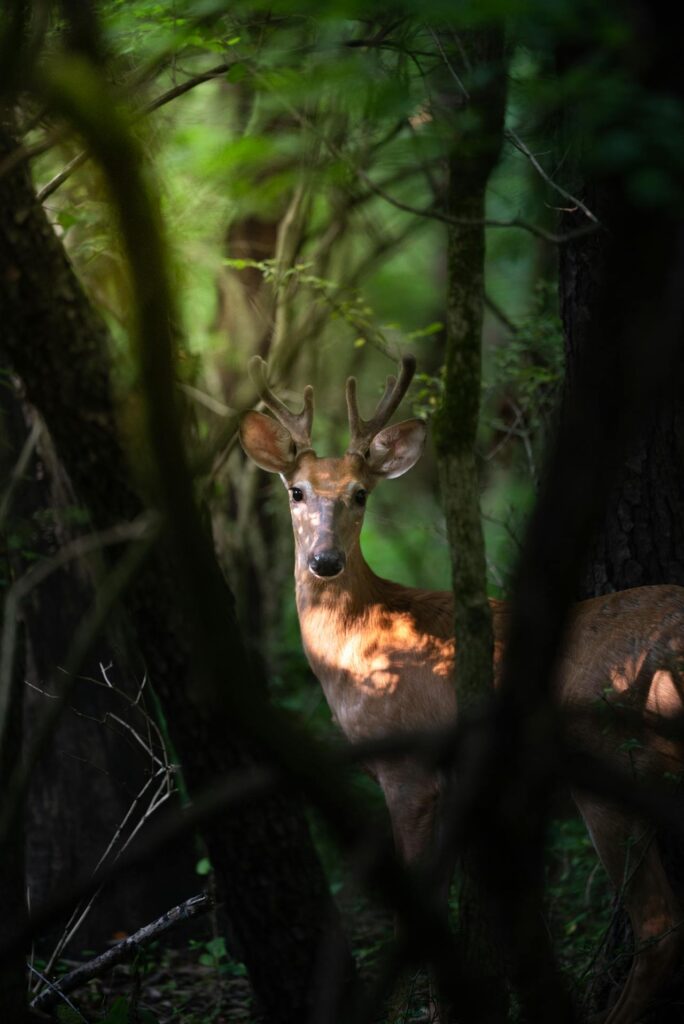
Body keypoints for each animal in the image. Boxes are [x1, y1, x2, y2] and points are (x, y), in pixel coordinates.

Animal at [239, 354, 684, 1024]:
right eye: (297, 491)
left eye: (360, 494)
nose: (324, 561)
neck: (363, 642)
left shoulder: (408, 769)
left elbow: (418, 910)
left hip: (611, 762)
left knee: (659, 923)